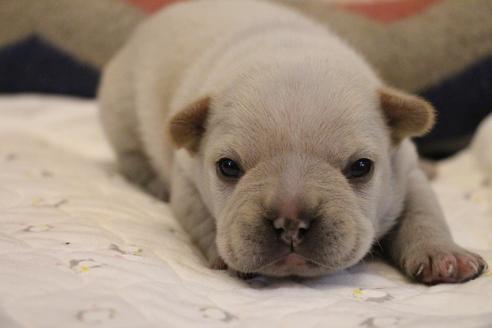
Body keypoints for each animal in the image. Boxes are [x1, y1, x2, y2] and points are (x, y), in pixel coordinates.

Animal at [98, 0, 486, 284]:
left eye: (361, 168)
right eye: (228, 168)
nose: (290, 222)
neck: (286, 50)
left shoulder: (404, 171)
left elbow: (424, 213)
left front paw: (443, 255)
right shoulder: (188, 178)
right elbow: (202, 218)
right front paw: (222, 253)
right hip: (121, 107)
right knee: (130, 154)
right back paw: (152, 181)